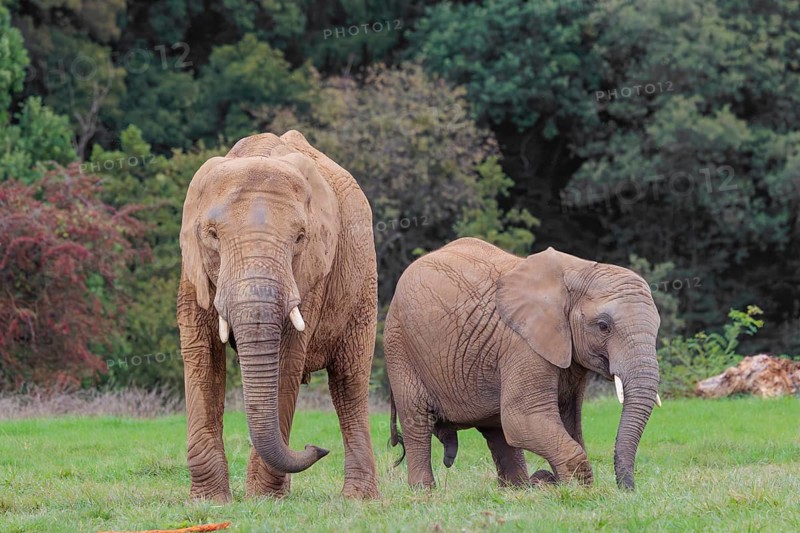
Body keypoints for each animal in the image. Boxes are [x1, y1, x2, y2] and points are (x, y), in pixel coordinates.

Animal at [177, 130, 379, 501]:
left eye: (300, 237)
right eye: (212, 236)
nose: (317, 447)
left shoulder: (311, 274)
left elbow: (287, 358)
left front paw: (262, 499)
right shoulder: (192, 270)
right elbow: (202, 356)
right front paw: (210, 501)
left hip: (363, 283)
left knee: (349, 383)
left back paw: (358, 499)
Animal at [385, 237, 661, 490]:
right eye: (604, 326)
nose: (627, 489)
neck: (579, 270)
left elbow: (566, 420)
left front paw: (552, 484)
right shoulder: (522, 344)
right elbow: (524, 418)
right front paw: (576, 490)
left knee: (496, 429)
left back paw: (516, 489)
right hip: (399, 345)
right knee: (417, 420)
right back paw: (424, 491)